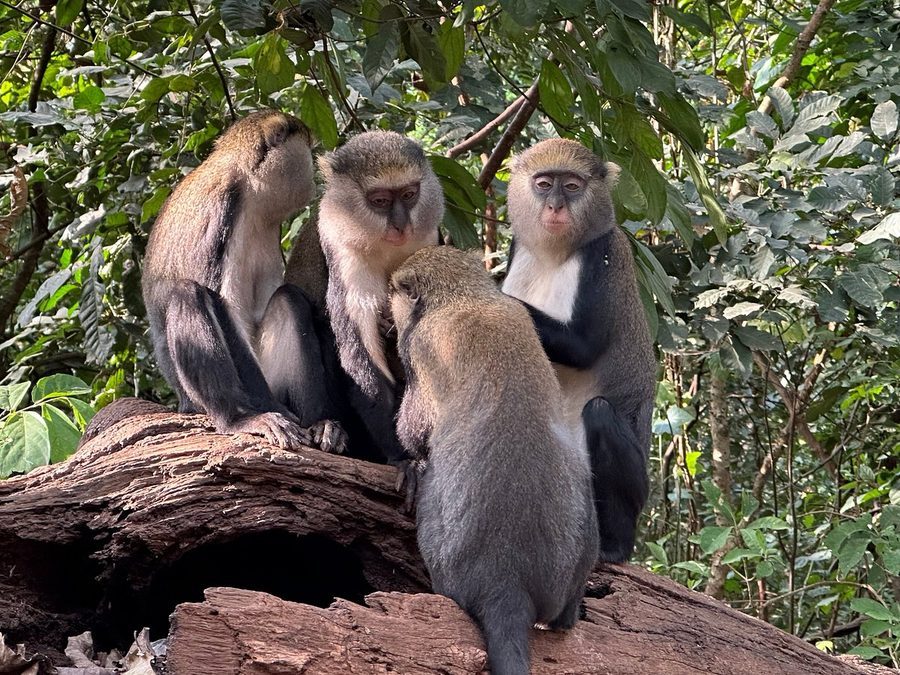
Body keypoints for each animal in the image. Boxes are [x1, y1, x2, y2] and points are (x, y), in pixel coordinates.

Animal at [142, 110, 345, 453]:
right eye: (306, 149)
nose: (314, 174)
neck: (249, 189)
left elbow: (267, 303)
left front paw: (322, 422)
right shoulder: (222, 205)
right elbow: (227, 309)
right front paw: (268, 414)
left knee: (288, 299)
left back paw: (319, 422)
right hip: (196, 398)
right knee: (188, 294)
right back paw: (238, 418)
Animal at [313, 130, 443, 465]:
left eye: (409, 195)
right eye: (381, 201)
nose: (401, 225)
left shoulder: (427, 239)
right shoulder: (343, 251)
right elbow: (360, 355)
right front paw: (404, 456)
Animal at [389, 245, 598, 675]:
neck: (465, 296)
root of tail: (507, 584)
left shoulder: (421, 344)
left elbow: (416, 427)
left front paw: (410, 460)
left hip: (447, 561)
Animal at [502, 138, 656, 563]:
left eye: (571, 186)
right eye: (543, 184)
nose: (556, 206)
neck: (552, 253)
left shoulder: (602, 254)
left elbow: (583, 346)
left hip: (636, 490)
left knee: (600, 414)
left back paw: (614, 548)